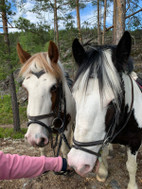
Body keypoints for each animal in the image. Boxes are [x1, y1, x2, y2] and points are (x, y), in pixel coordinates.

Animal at [67, 31, 142, 189]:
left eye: (113, 102)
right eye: (74, 97)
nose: (77, 163)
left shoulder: (135, 142)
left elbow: (131, 166)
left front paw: (132, 185)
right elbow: (104, 153)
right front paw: (102, 172)